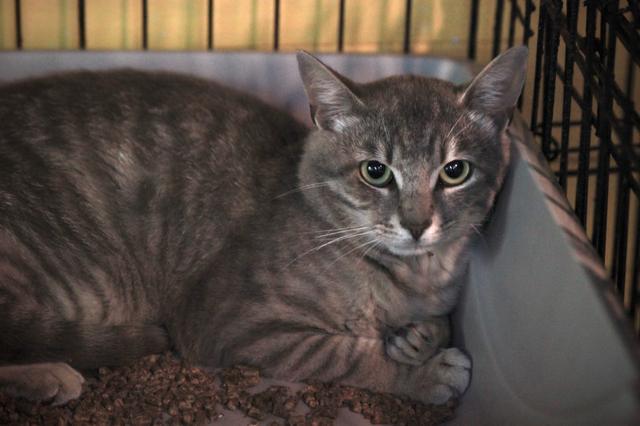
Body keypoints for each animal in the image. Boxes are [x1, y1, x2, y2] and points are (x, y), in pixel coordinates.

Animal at [0, 46, 528, 406]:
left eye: (454, 171)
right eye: (375, 171)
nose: (417, 224)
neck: (413, 277)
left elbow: (435, 321)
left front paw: (419, 337)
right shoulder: (235, 324)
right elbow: (343, 354)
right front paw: (424, 373)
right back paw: (49, 375)